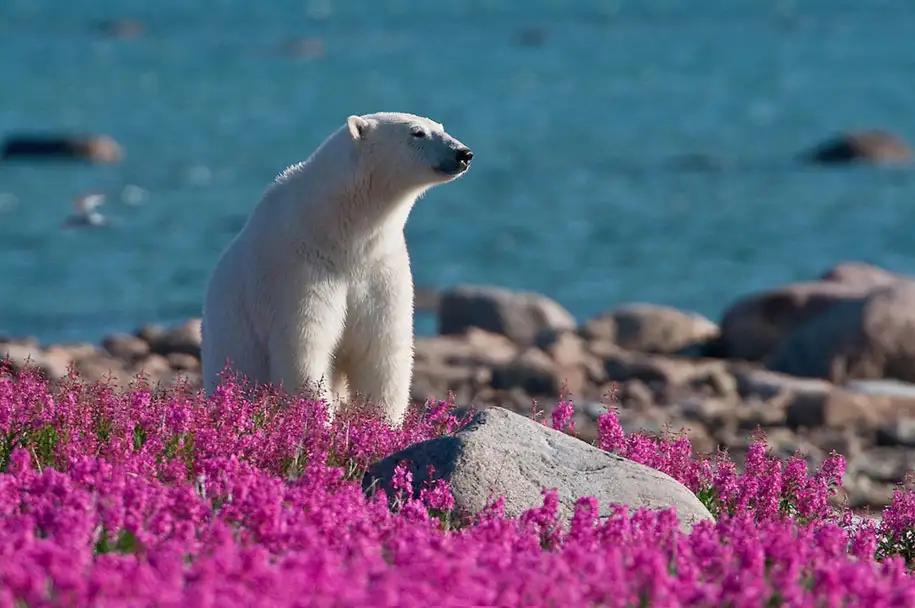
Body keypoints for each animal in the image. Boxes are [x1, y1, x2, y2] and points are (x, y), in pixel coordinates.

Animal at [200, 113, 472, 428]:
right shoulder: (297, 269)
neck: (339, 234)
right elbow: (305, 348)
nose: (463, 153)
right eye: (417, 132)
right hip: (232, 349)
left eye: (440, 127)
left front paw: (383, 425)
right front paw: (319, 423)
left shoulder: (379, 268)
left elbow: (381, 350)